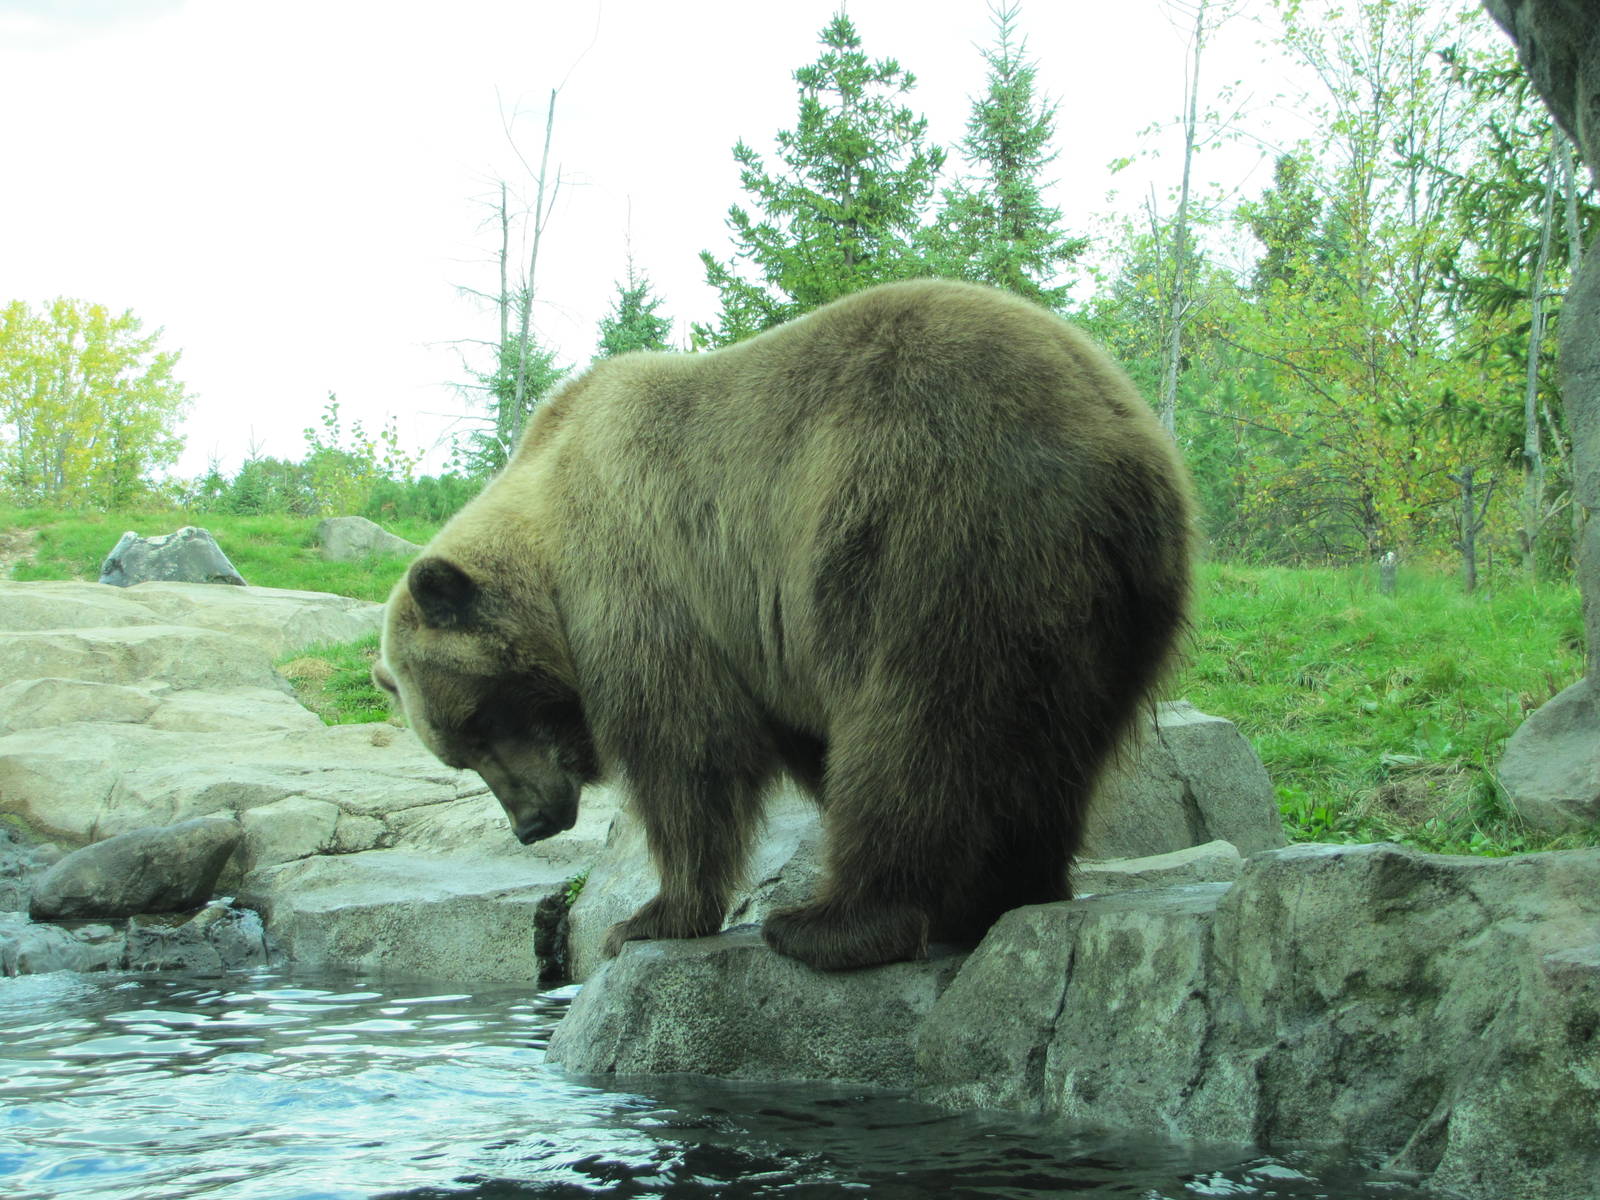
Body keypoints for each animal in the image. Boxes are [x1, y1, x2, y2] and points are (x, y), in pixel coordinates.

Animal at [374, 279, 1194, 971]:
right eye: (460, 753)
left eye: (478, 722)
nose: (531, 824)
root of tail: (1116, 446)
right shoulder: (757, 640)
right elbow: (787, 738)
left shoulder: (643, 579)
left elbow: (686, 749)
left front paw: (646, 917)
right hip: (1108, 606)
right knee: (1057, 748)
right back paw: (1002, 896)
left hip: (930, 529)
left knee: (912, 730)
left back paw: (830, 923)